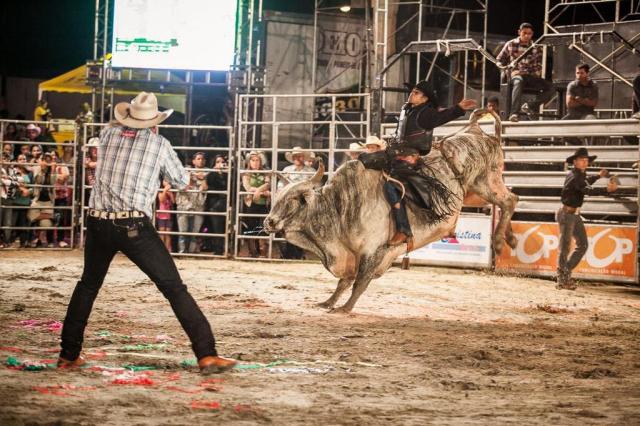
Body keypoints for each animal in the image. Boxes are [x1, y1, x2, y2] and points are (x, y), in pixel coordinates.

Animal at [262, 110, 516, 312]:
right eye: (278, 197)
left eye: (293, 200)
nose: (269, 222)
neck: (340, 208)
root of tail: (477, 132)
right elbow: (345, 281)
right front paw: (328, 302)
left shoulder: (374, 250)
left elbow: (359, 281)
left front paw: (345, 308)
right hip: (479, 189)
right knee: (510, 201)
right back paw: (509, 239)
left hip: (486, 181)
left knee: (510, 200)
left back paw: (500, 242)